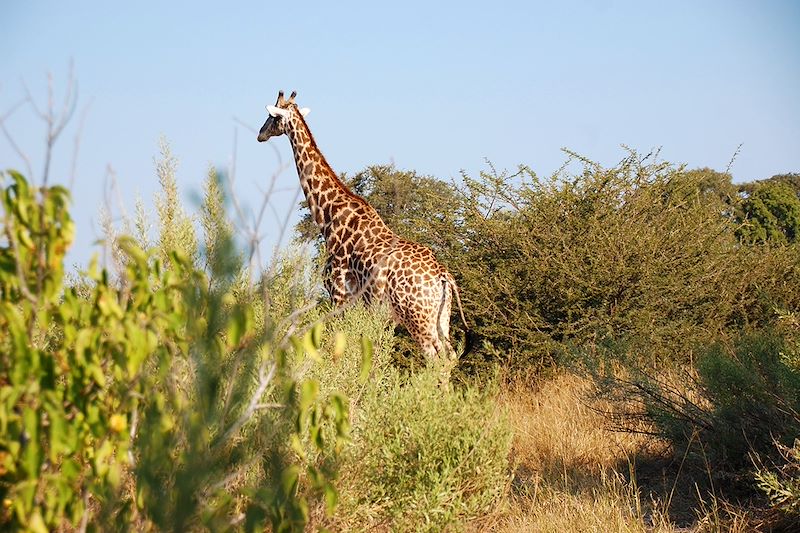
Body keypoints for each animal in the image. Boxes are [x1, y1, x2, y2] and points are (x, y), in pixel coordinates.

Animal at [260, 89, 466, 360]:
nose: (260, 134)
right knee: (450, 356)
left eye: (272, 117)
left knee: (434, 358)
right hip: (441, 318)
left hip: (417, 318)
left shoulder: (338, 293)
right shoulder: (368, 309)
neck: (328, 216)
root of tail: (443, 276)